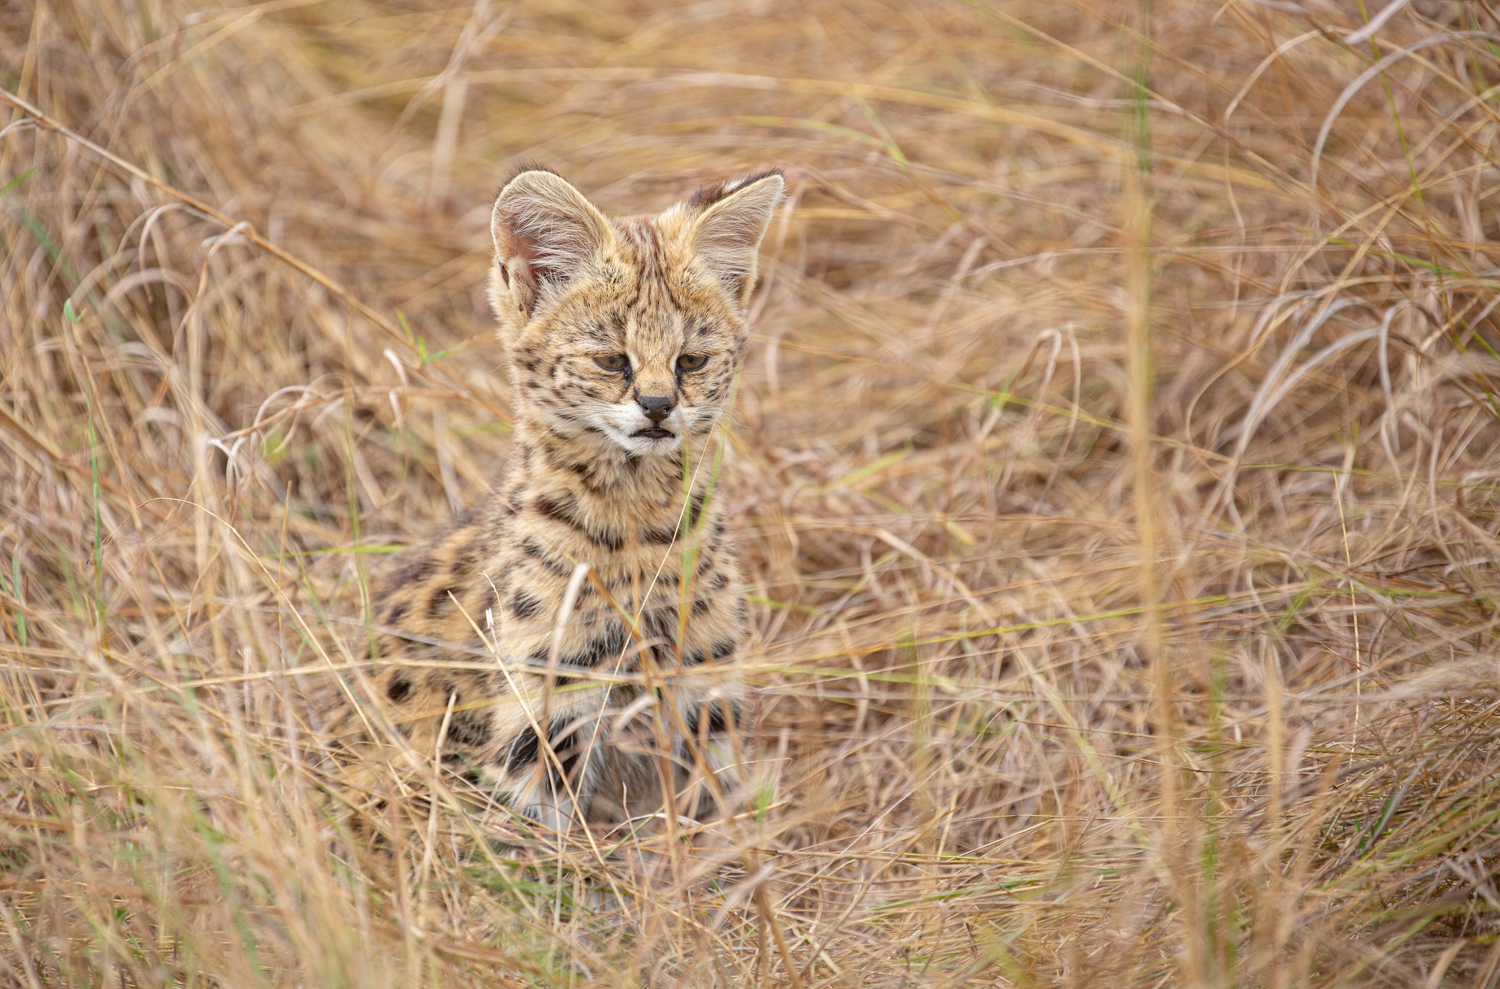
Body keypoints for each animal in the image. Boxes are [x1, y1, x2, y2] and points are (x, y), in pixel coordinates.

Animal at [334, 166, 786, 834]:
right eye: (611, 360)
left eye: (691, 361)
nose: (659, 407)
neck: (636, 520)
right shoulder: (545, 704)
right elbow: (539, 841)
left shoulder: (705, 683)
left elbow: (712, 810)